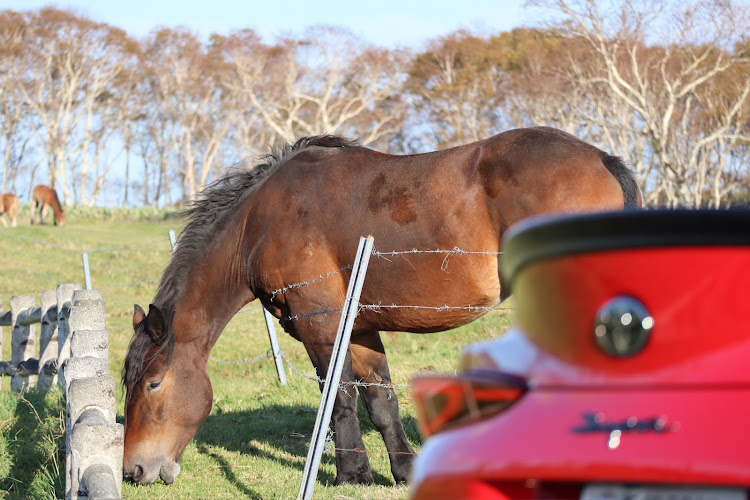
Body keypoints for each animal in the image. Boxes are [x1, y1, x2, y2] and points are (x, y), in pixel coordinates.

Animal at [122, 127, 640, 486]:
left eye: (152, 383)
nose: (134, 471)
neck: (262, 220)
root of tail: (601, 159)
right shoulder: (360, 327)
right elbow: (382, 400)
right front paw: (404, 471)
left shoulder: (321, 324)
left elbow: (340, 398)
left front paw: (351, 474)